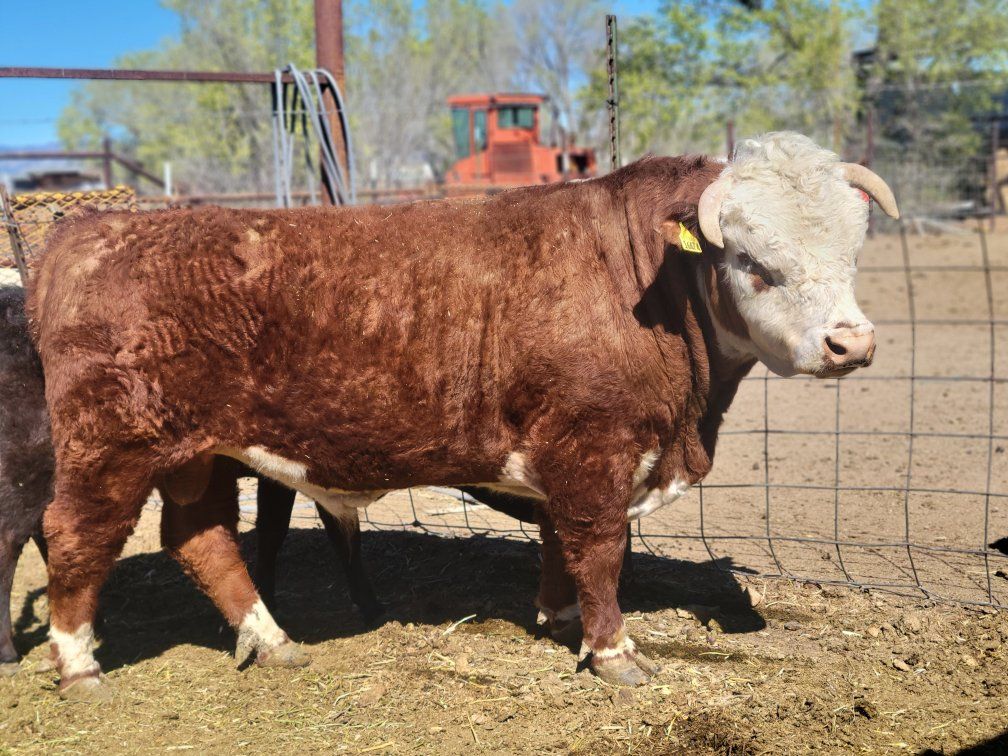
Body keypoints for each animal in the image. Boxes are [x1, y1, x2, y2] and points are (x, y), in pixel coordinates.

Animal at [28, 132, 897, 699]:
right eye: (751, 260)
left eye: (853, 250)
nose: (851, 342)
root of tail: (86, 233)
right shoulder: (594, 446)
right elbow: (600, 548)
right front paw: (613, 651)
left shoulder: (570, 457)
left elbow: (562, 545)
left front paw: (560, 616)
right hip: (113, 445)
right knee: (77, 535)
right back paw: (81, 666)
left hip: (198, 452)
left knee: (199, 538)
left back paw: (271, 641)